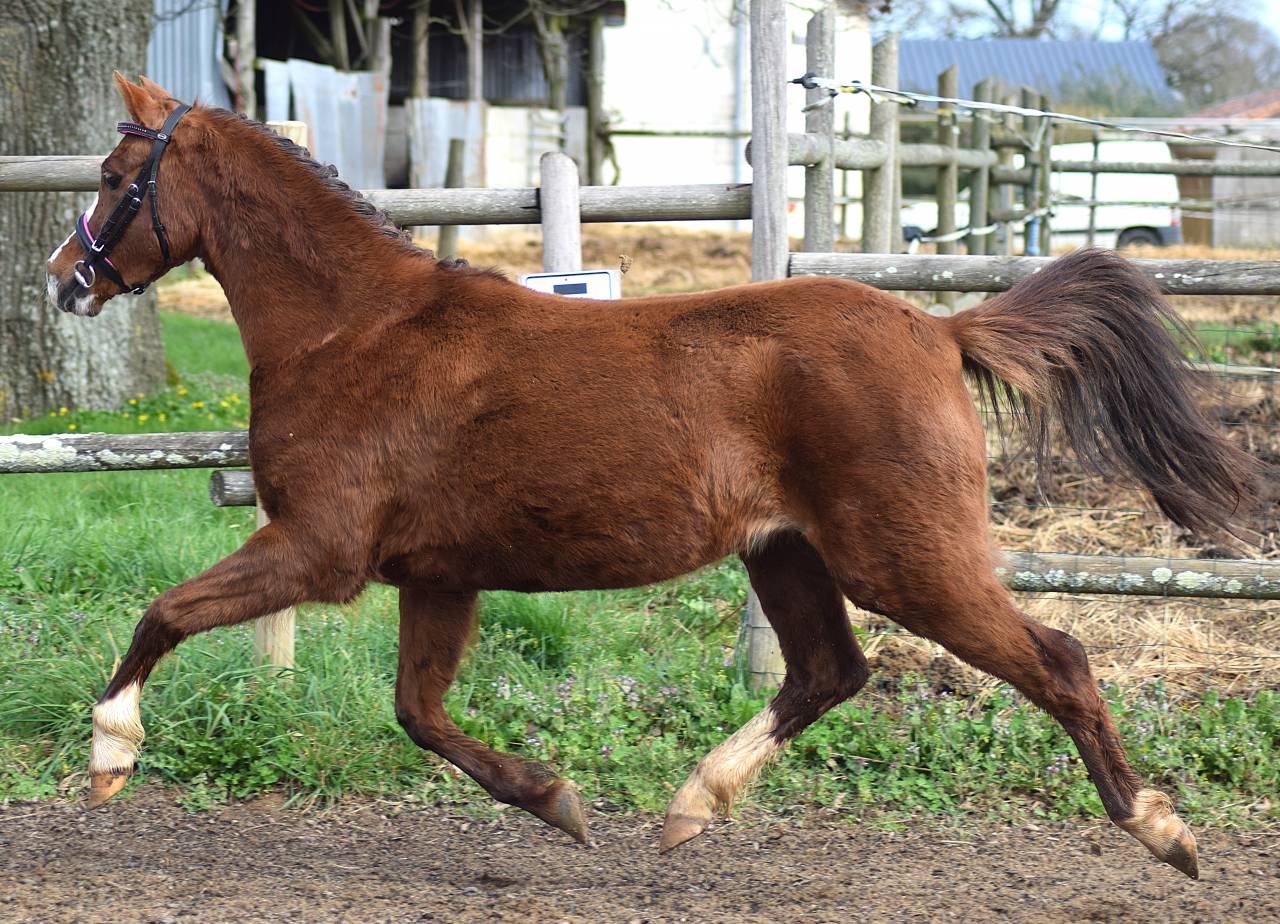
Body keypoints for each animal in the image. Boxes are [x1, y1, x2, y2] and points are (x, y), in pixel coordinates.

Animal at [44, 75, 1257, 880]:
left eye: (110, 179)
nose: (63, 280)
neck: (355, 333)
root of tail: (936, 329)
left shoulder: (317, 549)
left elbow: (166, 612)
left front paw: (110, 755)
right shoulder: (438, 574)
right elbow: (419, 715)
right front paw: (556, 802)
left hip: (904, 558)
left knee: (1056, 659)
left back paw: (1163, 831)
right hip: (787, 554)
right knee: (830, 672)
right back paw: (690, 807)